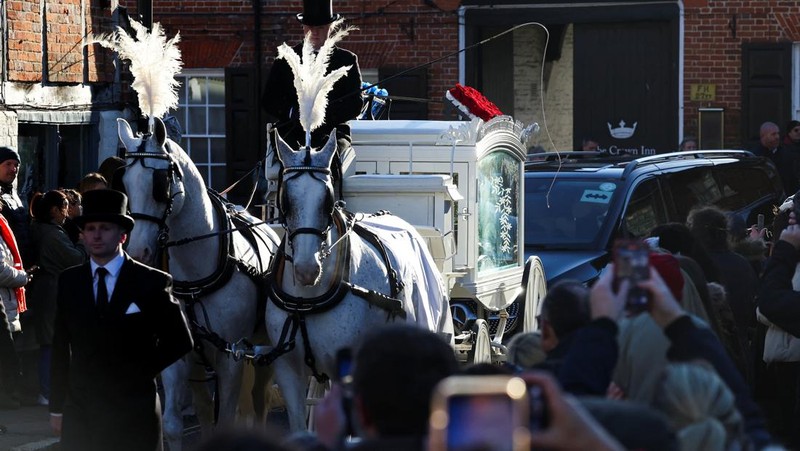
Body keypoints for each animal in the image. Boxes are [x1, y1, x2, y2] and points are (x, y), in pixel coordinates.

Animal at [115, 116, 282, 448]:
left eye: (159, 184)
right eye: (125, 183)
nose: (138, 253)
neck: (195, 279)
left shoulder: (232, 355)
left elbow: (227, 418)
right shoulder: (178, 354)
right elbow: (173, 425)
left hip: (264, 349)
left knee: (259, 401)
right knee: (205, 408)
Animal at [266, 130, 456, 430]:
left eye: (328, 199)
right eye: (286, 199)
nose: (307, 269)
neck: (308, 300)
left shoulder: (343, 366)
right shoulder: (287, 369)